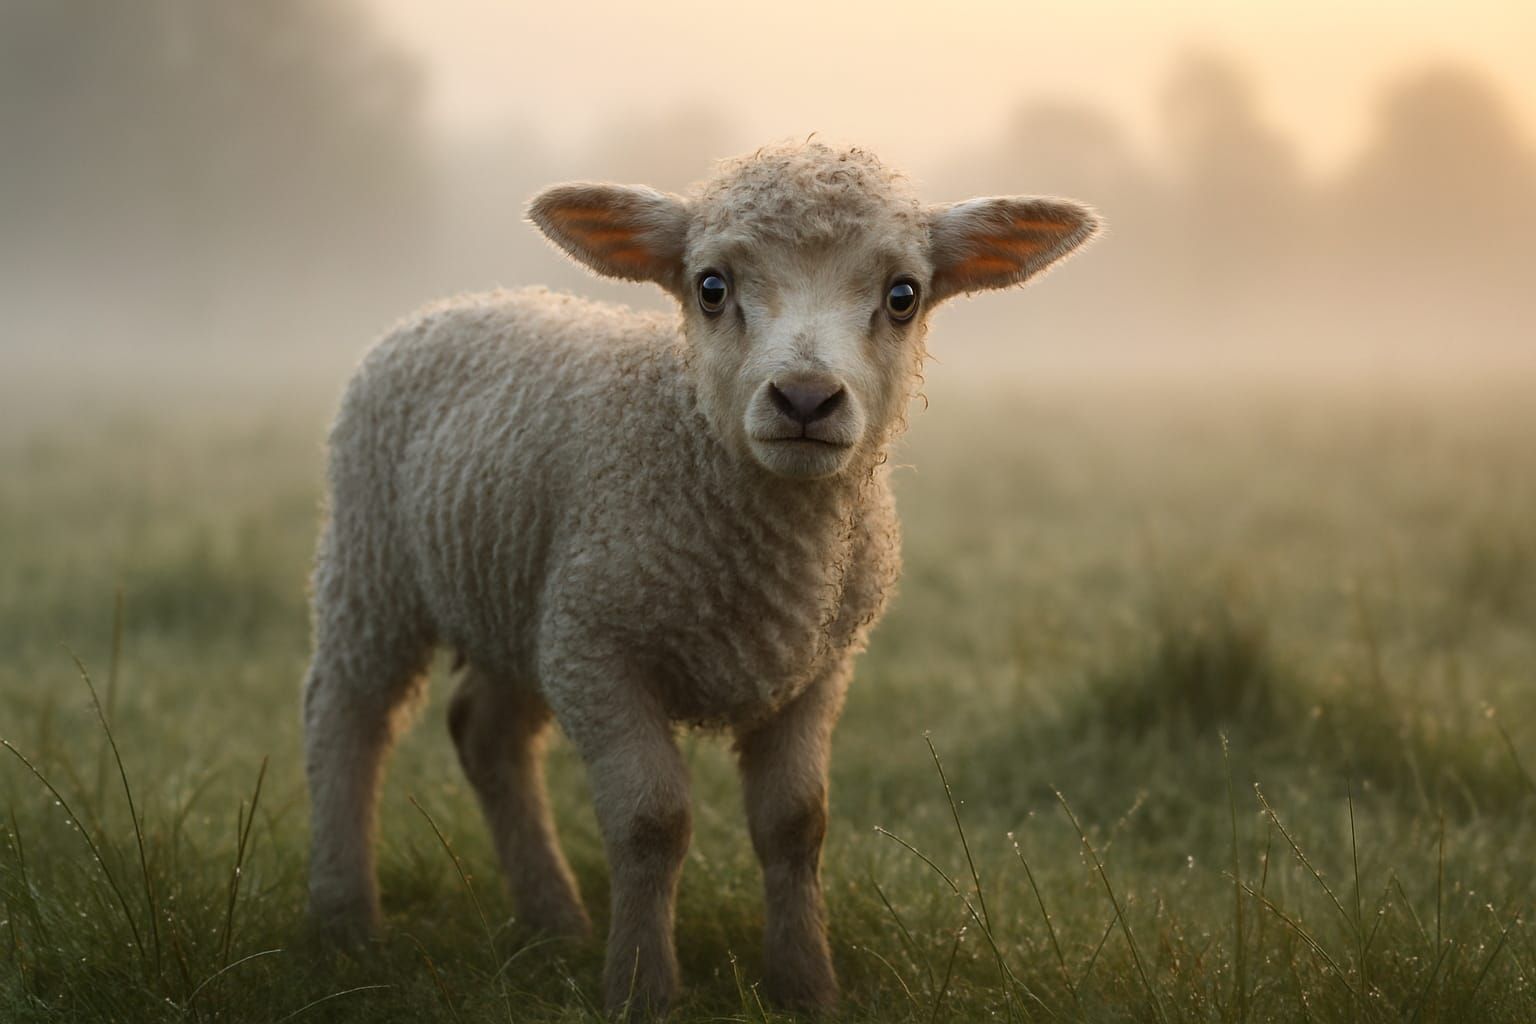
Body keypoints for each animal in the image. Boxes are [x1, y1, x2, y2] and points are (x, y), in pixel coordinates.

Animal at [302, 139, 1099, 1015]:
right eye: (711, 287)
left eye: (904, 296)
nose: (805, 398)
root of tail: (464, 302)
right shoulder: (596, 652)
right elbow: (652, 822)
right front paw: (642, 990)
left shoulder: (818, 666)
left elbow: (797, 823)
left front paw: (805, 986)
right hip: (373, 569)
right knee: (348, 718)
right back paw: (345, 919)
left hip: (517, 602)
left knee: (488, 733)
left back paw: (554, 920)